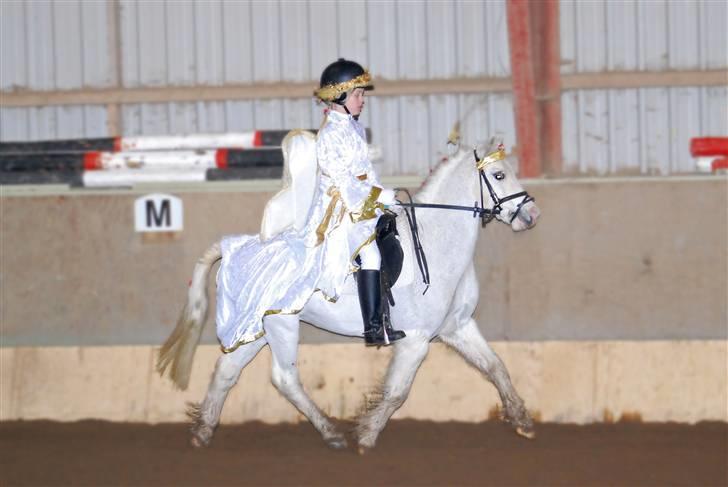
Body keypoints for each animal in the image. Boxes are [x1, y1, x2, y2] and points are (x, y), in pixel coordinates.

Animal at [158, 133, 540, 450]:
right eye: (500, 175)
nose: (531, 215)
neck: (436, 241)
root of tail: (235, 248)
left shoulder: (457, 327)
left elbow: (496, 367)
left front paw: (522, 421)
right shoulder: (416, 341)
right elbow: (396, 393)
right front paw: (366, 436)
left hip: (255, 328)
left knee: (227, 371)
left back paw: (203, 432)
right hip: (282, 325)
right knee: (284, 378)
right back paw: (331, 434)